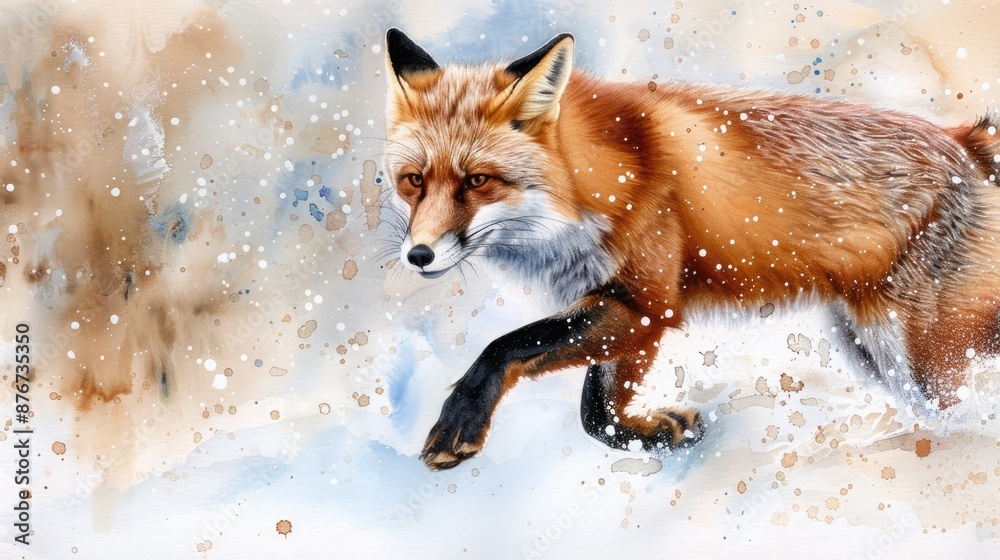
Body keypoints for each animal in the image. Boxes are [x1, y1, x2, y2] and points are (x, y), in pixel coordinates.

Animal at [381, 28, 1000, 471]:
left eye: (477, 182)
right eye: (413, 182)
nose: (419, 256)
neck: (597, 182)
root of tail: (966, 140)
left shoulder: (647, 301)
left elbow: (505, 347)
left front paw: (459, 423)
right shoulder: (625, 305)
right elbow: (596, 412)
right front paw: (658, 435)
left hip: (921, 356)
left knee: (956, 413)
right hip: (872, 350)